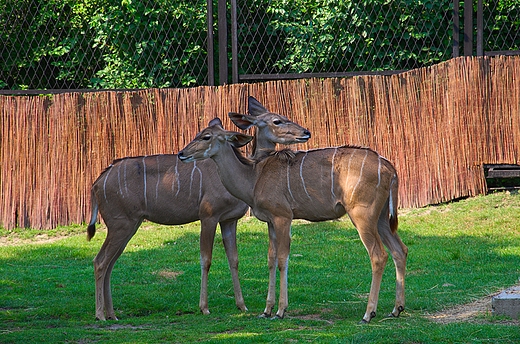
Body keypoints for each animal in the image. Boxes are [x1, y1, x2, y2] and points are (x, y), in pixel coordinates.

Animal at [87, 96, 310, 320]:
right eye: (277, 121)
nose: (305, 132)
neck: (248, 173)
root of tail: (97, 183)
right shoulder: (208, 215)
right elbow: (206, 259)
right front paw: (204, 307)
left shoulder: (229, 220)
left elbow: (234, 259)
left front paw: (242, 306)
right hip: (120, 224)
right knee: (100, 261)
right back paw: (99, 315)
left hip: (128, 225)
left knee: (109, 263)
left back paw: (112, 314)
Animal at [179, 117, 406, 322]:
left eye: (206, 136)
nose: (182, 154)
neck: (253, 178)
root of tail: (390, 168)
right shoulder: (270, 221)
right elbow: (271, 259)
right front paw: (266, 310)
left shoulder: (283, 217)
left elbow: (283, 259)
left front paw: (280, 310)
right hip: (381, 219)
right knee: (399, 250)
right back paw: (396, 309)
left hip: (362, 215)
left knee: (378, 255)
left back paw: (368, 314)